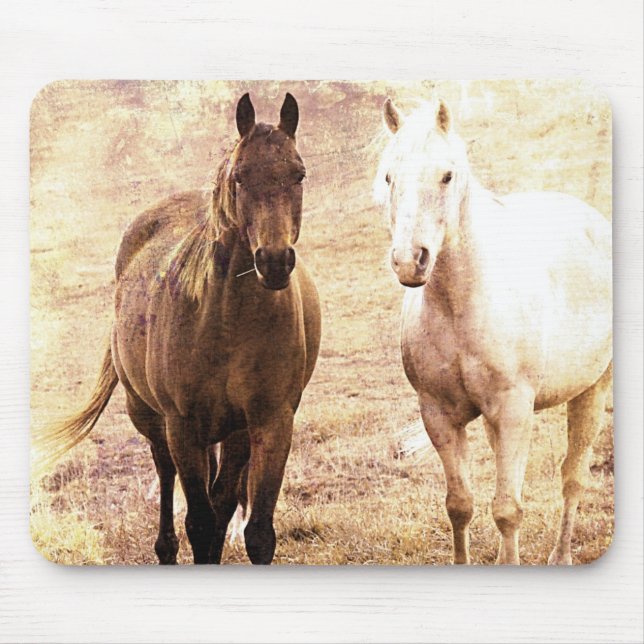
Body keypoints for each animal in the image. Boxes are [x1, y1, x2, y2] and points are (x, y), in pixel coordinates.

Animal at [37, 93, 321, 565]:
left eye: (297, 174)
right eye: (240, 178)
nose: (275, 261)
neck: (227, 320)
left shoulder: (269, 423)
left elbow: (252, 529)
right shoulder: (183, 427)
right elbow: (201, 523)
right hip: (152, 420)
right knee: (168, 477)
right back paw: (165, 548)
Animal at [374, 98, 612, 565]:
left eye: (447, 175)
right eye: (390, 176)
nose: (410, 260)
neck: (461, 306)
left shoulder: (514, 411)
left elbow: (507, 510)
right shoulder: (439, 415)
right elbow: (459, 505)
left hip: (592, 391)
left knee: (573, 478)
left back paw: (561, 556)